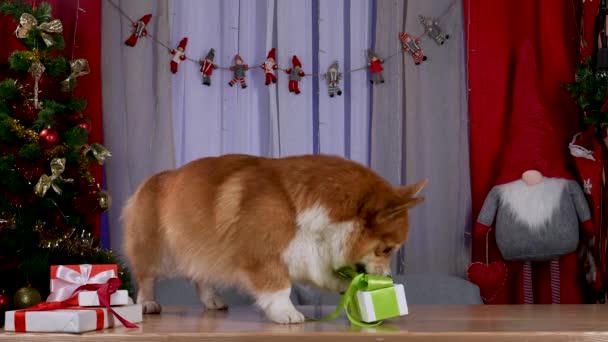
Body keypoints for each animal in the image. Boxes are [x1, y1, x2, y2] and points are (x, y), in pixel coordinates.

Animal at [122, 154, 428, 324]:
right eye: (386, 249)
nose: (388, 278)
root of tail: (155, 178)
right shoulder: (262, 256)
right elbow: (279, 287)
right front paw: (286, 314)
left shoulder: (309, 254)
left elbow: (325, 274)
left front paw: (345, 285)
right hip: (156, 252)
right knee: (146, 277)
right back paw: (147, 304)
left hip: (203, 249)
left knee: (201, 276)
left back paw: (212, 300)